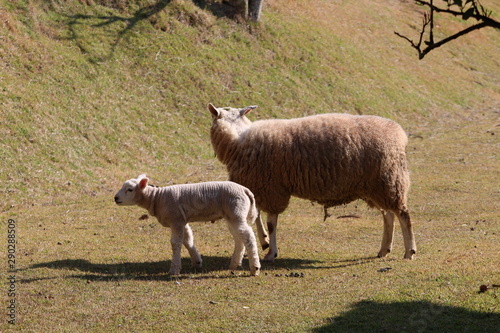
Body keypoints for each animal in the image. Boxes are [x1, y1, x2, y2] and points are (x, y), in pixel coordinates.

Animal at [114, 174, 262, 274]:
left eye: (129, 189)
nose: (115, 198)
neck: (157, 198)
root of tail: (246, 190)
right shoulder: (181, 220)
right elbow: (188, 240)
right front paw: (197, 261)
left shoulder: (176, 220)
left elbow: (176, 243)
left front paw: (174, 269)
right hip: (232, 215)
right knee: (239, 237)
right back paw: (234, 264)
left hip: (236, 212)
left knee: (248, 235)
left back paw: (254, 268)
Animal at [208, 104, 418, 262]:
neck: (237, 140)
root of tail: (400, 134)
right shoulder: (260, 186)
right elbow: (258, 215)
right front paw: (265, 241)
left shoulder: (270, 187)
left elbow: (270, 222)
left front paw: (270, 251)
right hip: (377, 185)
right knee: (388, 215)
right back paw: (384, 249)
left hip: (389, 180)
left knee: (403, 215)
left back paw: (409, 251)